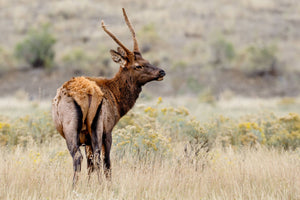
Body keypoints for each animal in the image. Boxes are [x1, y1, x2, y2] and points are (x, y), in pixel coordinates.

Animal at [50, 8, 165, 185]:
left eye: (147, 60)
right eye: (138, 65)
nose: (161, 72)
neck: (117, 100)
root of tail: (88, 93)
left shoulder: (99, 132)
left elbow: (96, 162)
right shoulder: (103, 131)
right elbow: (100, 162)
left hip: (84, 129)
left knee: (87, 157)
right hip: (91, 128)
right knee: (93, 158)